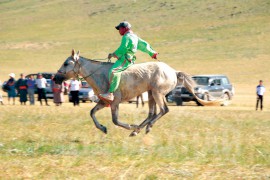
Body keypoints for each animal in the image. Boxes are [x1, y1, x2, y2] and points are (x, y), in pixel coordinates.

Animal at [54, 49, 217, 136]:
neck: (100, 74)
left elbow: (115, 120)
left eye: (66, 63)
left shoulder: (114, 102)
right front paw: (103, 128)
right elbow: (92, 113)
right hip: (151, 94)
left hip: (157, 94)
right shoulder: (103, 102)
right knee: (152, 113)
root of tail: (174, 72)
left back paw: (143, 128)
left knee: (163, 110)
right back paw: (138, 129)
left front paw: (129, 126)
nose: (55, 78)